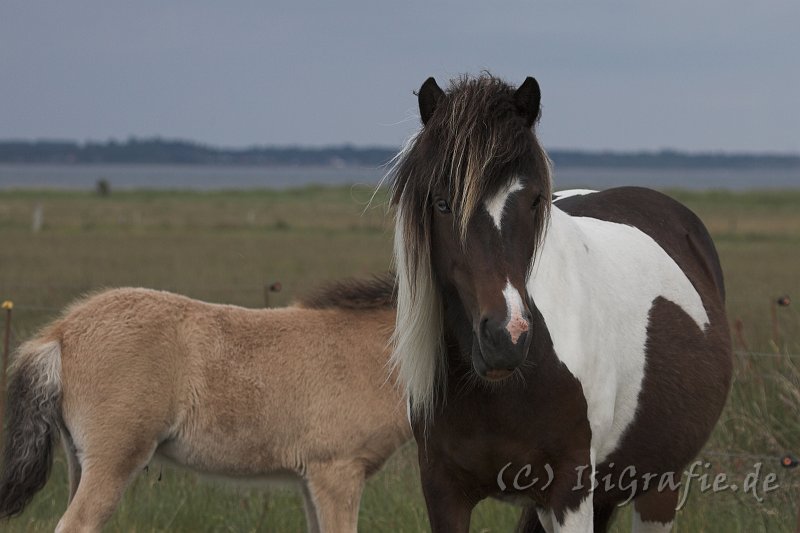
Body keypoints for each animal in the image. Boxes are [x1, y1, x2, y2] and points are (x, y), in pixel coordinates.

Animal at [388, 72, 732, 528]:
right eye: (442, 203)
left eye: (535, 199)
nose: (507, 338)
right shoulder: (443, 491)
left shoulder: (570, 489)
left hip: (657, 485)